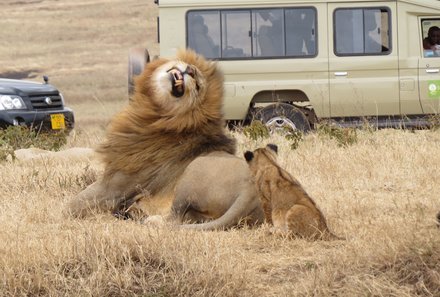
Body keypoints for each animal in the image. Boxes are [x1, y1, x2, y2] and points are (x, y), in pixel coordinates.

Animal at [65, 49, 254, 224]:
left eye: (198, 86)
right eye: (192, 69)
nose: (191, 70)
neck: (156, 115)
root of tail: (248, 192)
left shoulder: (118, 184)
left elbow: (72, 205)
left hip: (190, 175)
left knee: (174, 218)